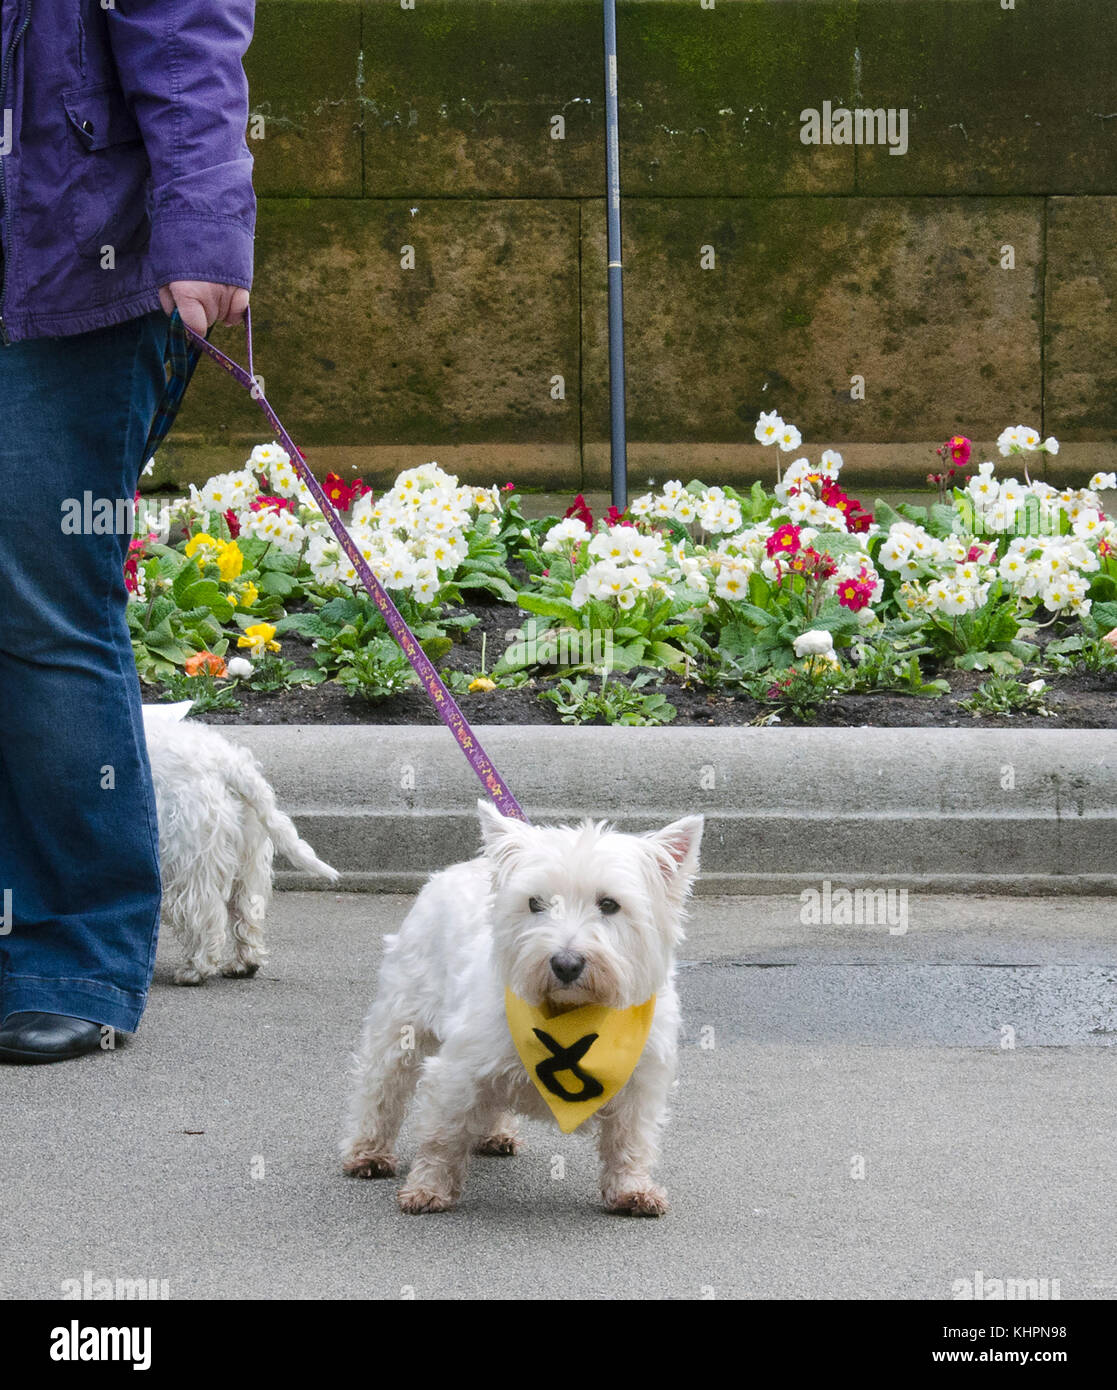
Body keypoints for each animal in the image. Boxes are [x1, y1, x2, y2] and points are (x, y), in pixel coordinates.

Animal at [143, 711, 337, 984]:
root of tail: (229, 762)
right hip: (246, 855)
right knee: (247, 909)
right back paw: (244, 964)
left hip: (184, 857)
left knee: (203, 912)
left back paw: (195, 969)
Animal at [344, 806, 702, 1217]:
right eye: (535, 903)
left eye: (609, 904)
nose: (565, 964)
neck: (570, 1012)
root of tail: (459, 867)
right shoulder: (458, 1069)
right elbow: (442, 1135)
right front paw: (428, 1188)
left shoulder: (639, 1081)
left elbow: (629, 1140)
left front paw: (632, 1191)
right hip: (403, 1018)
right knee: (381, 1085)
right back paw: (368, 1153)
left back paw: (495, 1134)